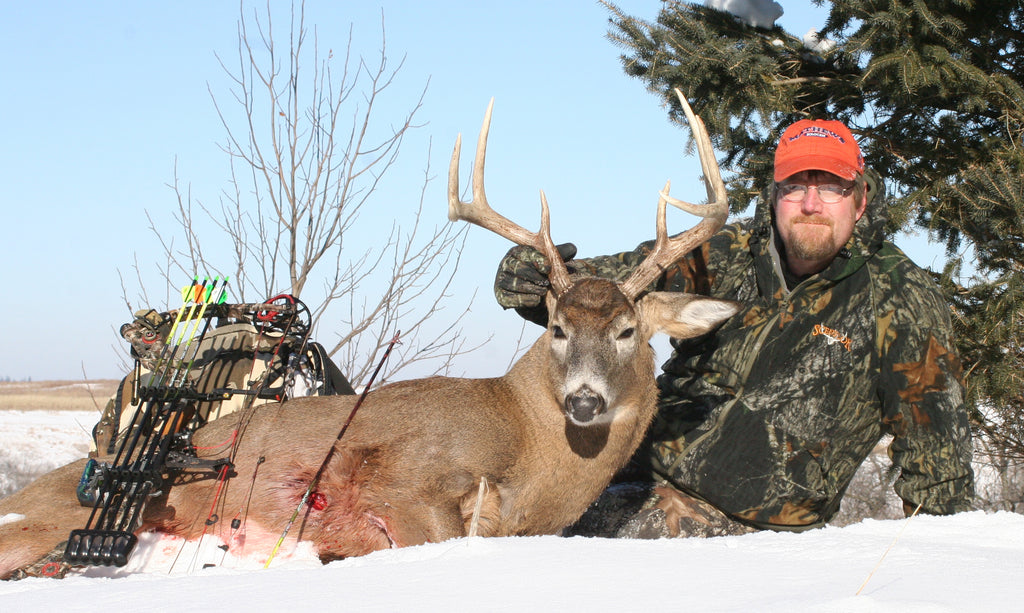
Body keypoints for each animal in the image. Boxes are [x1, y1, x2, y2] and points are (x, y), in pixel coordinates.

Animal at [0, 87, 737, 581]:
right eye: (557, 327)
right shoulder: (403, 479)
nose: (584, 400)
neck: (529, 448)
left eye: (627, 329)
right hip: (45, 517)